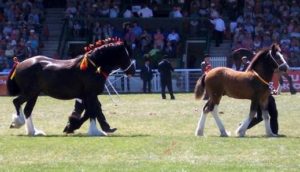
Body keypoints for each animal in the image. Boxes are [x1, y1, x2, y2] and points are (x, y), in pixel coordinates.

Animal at [6, 38, 135, 136]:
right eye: (126, 55)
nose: (132, 71)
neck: (93, 67)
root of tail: (19, 64)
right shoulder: (91, 94)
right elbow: (93, 111)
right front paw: (95, 131)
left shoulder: (87, 95)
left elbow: (93, 110)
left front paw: (73, 126)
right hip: (30, 93)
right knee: (16, 102)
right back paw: (17, 123)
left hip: (34, 94)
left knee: (28, 110)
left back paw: (33, 132)